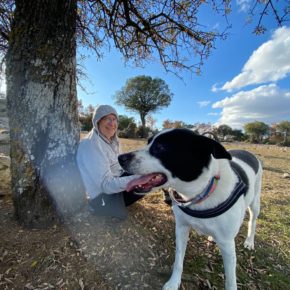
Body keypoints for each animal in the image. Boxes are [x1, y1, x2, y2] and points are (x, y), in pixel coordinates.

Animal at [118, 129, 262, 290]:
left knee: (252, 221)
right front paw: (173, 282)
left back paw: (249, 241)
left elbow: (231, 281)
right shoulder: (181, 227)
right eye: (148, 142)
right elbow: (179, 260)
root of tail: (247, 152)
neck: (199, 192)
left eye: (161, 148)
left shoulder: (227, 244)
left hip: (255, 203)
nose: (120, 158)